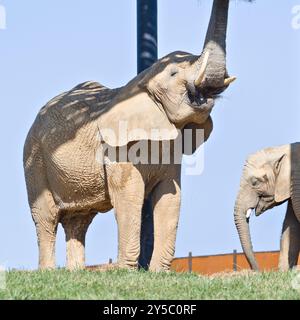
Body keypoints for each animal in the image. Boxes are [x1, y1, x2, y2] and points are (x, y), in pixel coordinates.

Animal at [24, 0, 234, 270]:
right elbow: (130, 194)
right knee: (46, 216)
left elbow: (170, 196)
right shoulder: (117, 148)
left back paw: (75, 273)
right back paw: (50, 273)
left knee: (79, 220)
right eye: (174, 74)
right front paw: (124, 270)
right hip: (35, 160)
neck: (142, 82)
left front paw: (158, 273)